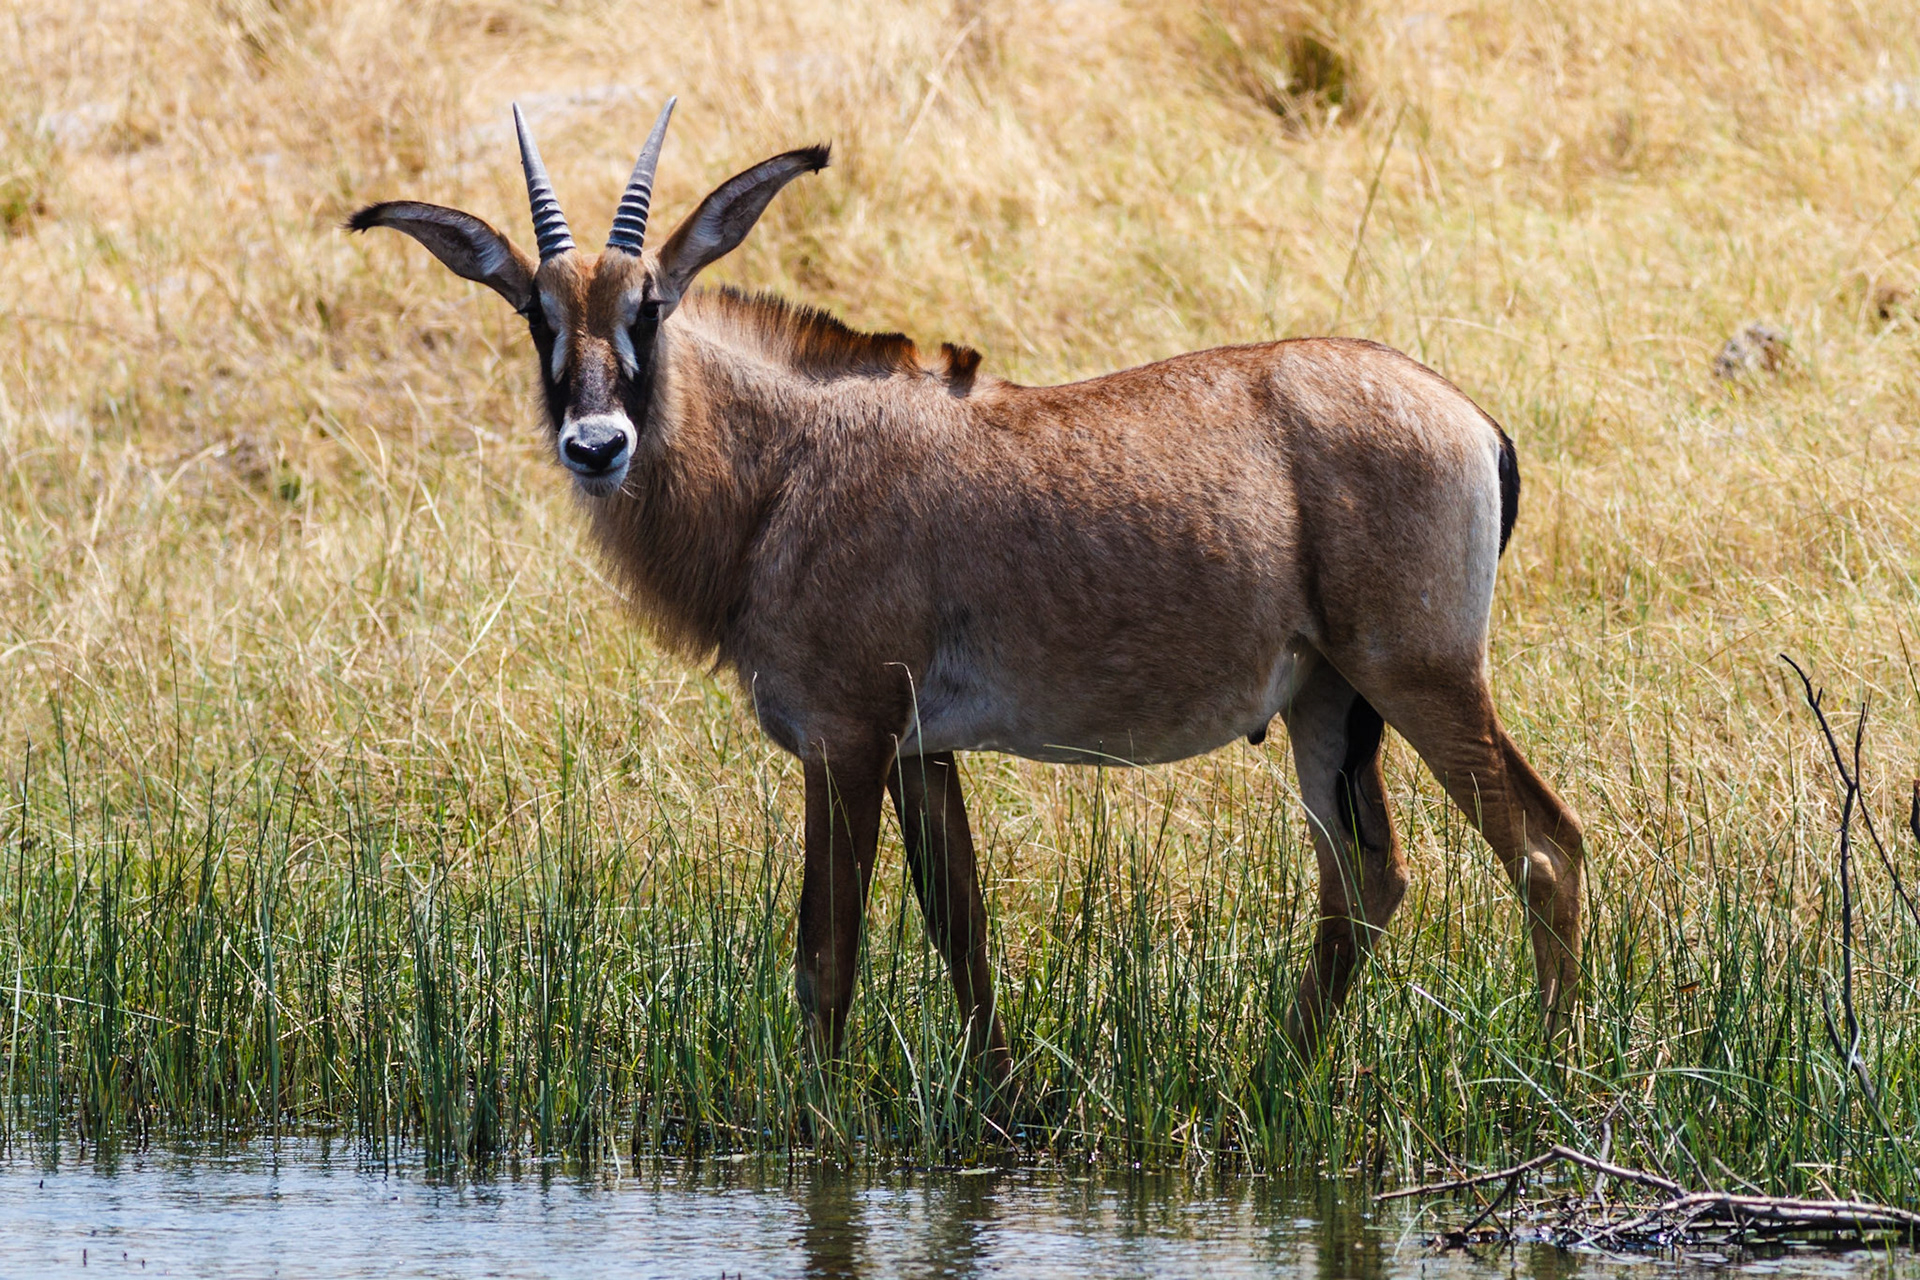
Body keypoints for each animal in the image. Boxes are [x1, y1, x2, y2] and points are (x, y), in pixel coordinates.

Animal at [349, 100, 1585, 1082]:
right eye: (537, 314)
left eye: (648, 308)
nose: (597, 444)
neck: (785, 468)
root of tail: (1472, 418)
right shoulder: (920, 749)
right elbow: (964, 932)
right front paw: (1003, 1110)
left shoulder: (844, 739)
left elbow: (826, 954)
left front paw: (820, 1132)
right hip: (1328, 702)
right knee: (1365, 881)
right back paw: (1273, 1082)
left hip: (1421, 677)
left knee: (1543, 846)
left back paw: (1549, 1074)